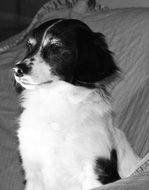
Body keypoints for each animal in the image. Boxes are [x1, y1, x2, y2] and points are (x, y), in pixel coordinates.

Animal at [13, 18, 140, 190]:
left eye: (56, 47)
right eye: (29, 46)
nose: (17, 69)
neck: (55, 103)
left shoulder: (96, 168)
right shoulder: (33, 173)